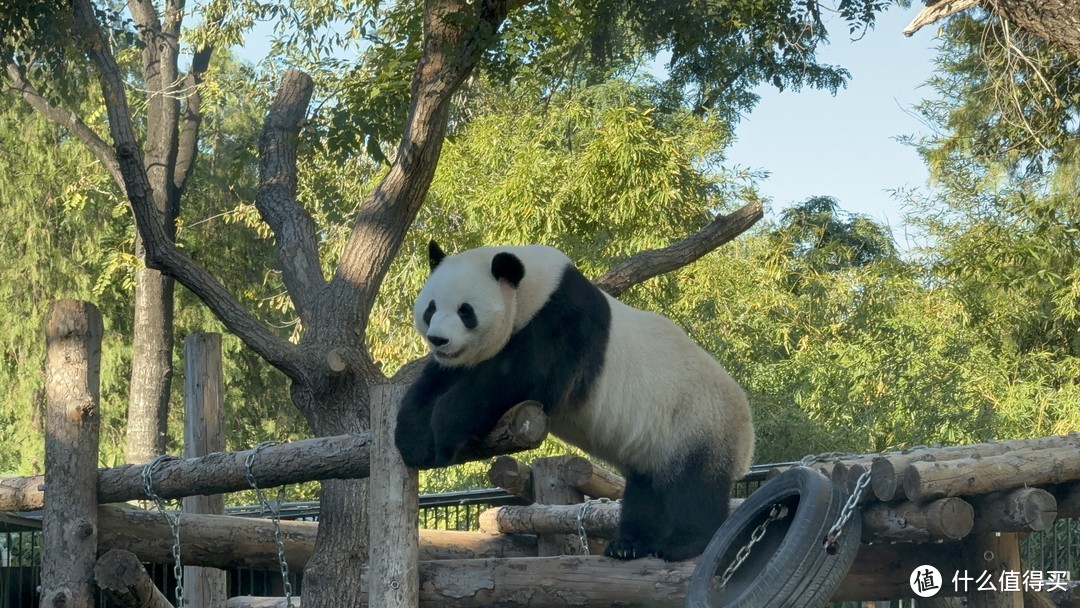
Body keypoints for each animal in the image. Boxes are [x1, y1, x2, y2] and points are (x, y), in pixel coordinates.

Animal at [393, 240, 756, 565]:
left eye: (465, 311)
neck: (533, 288)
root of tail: (747, 429)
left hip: (697, 419)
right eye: (431, 308)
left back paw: (683, 543)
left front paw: (445, 432)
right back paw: (629, 545)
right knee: (646, 489)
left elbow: (518, 378)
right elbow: (436, 381)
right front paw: (413, 439)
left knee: (694, 486)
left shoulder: (563, 322)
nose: (439, 339)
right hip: (655, 445)